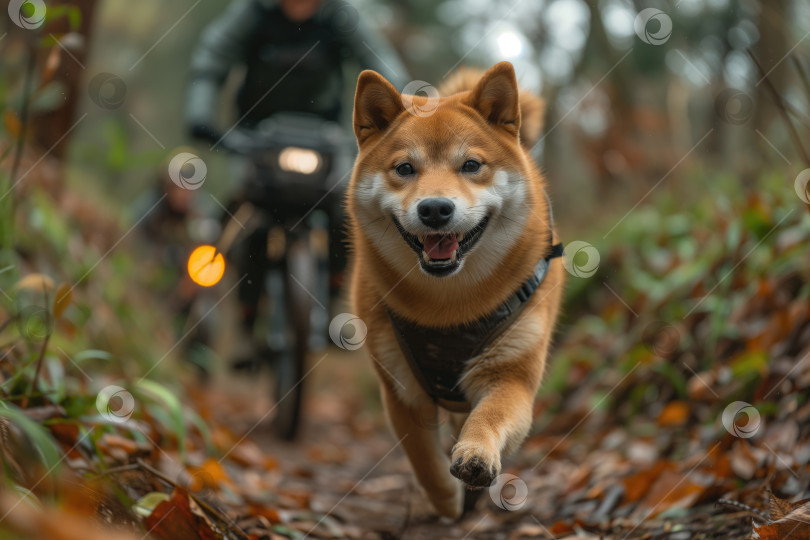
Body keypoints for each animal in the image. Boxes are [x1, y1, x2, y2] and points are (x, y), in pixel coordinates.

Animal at [346, 61, 560, 516]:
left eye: (472, 165)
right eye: (404, 168)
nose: (435, 209)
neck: (447, 307)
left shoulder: (510, 376)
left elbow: (489, 416)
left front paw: (475, 455)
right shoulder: (401, 393)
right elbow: (423, 460)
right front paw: (446, 501)